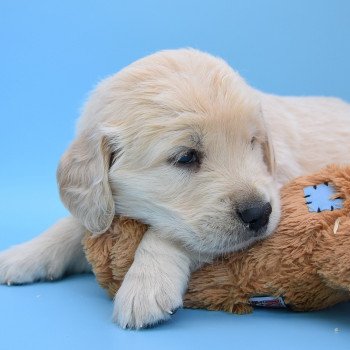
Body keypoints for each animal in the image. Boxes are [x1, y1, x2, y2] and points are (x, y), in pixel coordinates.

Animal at [0, 48, 350, 328]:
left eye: (253, 143)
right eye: (186, 157)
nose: (259, 213)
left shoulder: (277, 190)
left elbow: (170, 235)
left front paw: (145, 284)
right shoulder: (99, 208)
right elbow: (71, 226)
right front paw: (21, 255)